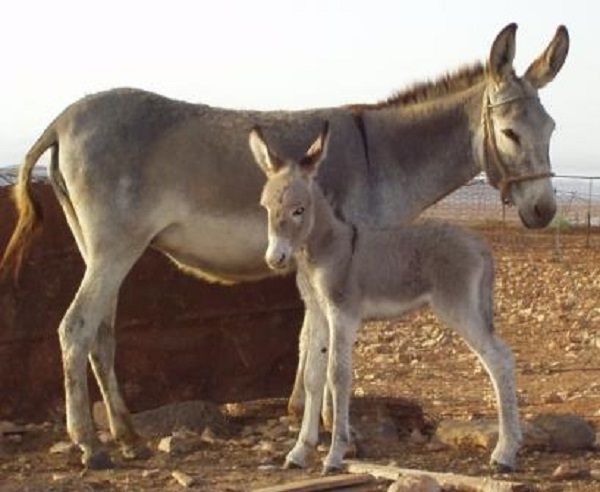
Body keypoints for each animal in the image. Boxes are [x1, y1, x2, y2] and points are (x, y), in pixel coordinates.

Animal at [248, 122, 520, 472]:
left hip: (458, 308)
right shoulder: (319, 313)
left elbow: (338, 377)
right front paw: (299, 451)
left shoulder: (343, 314)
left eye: (299, 210)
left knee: (499, 359)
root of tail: (480, 244)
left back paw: (505, 453)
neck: (324, 249)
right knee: (501, 357)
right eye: (266, 208)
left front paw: (335, 454)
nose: (275, 259)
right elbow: (312, 378)